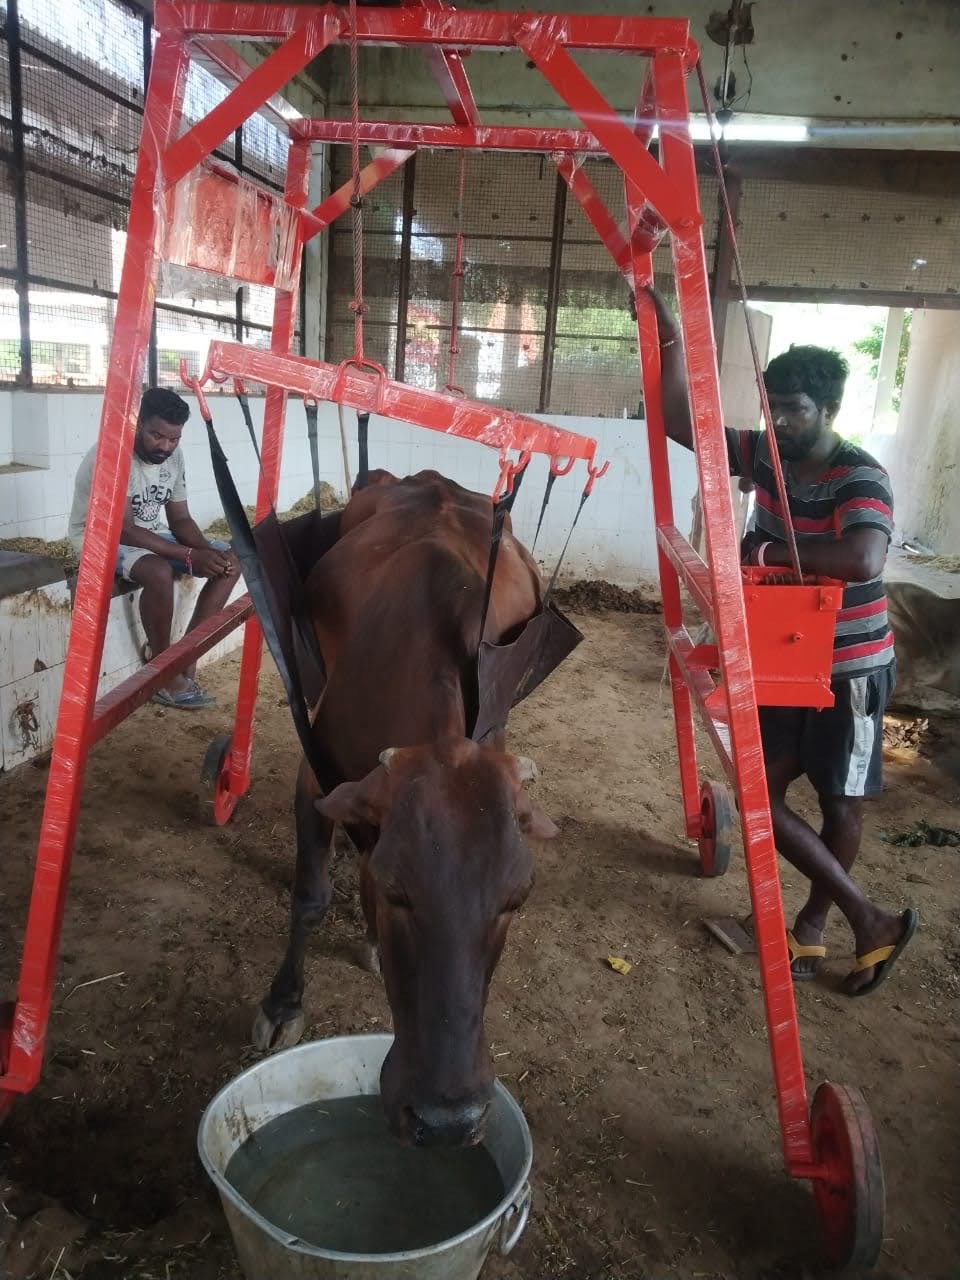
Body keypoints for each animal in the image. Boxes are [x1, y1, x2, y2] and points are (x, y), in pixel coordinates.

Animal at [252, 471, 560, 1152]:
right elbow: (310, 896)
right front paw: (283, 1003)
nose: (448, 1121)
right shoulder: (316, 778)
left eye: (518, 898)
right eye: (400, 889)